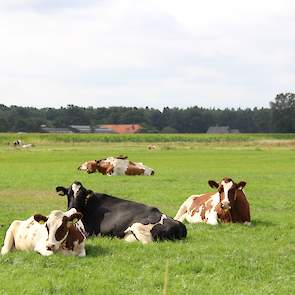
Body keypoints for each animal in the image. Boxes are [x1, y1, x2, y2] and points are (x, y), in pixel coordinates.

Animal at [55, 182, 187, 246]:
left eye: (82, 195)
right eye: (68, 194)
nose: (72, 209)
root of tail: (179, 225)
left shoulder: (89, 233)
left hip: (138, 228)